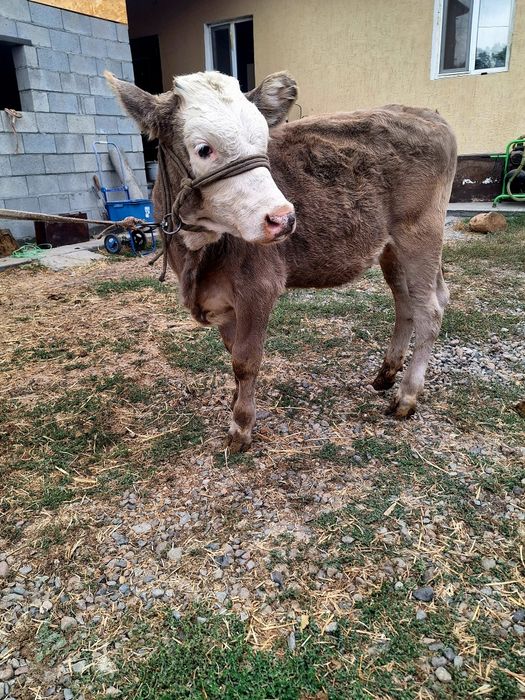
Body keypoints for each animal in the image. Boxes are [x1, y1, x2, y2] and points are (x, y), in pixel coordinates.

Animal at [106, 70, 457, 452]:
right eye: (204, 149)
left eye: (263, 141)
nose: (284, 219)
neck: (196, 255)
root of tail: (425, 114)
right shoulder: (224, 299)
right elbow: (231, 351)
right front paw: (235, 403)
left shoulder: (258, 288)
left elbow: (245, 361)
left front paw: (241, 427)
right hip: (391, 248)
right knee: (406, 302)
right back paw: (386, 374)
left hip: (420, 234)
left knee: (430, 310)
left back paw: (407, 396)